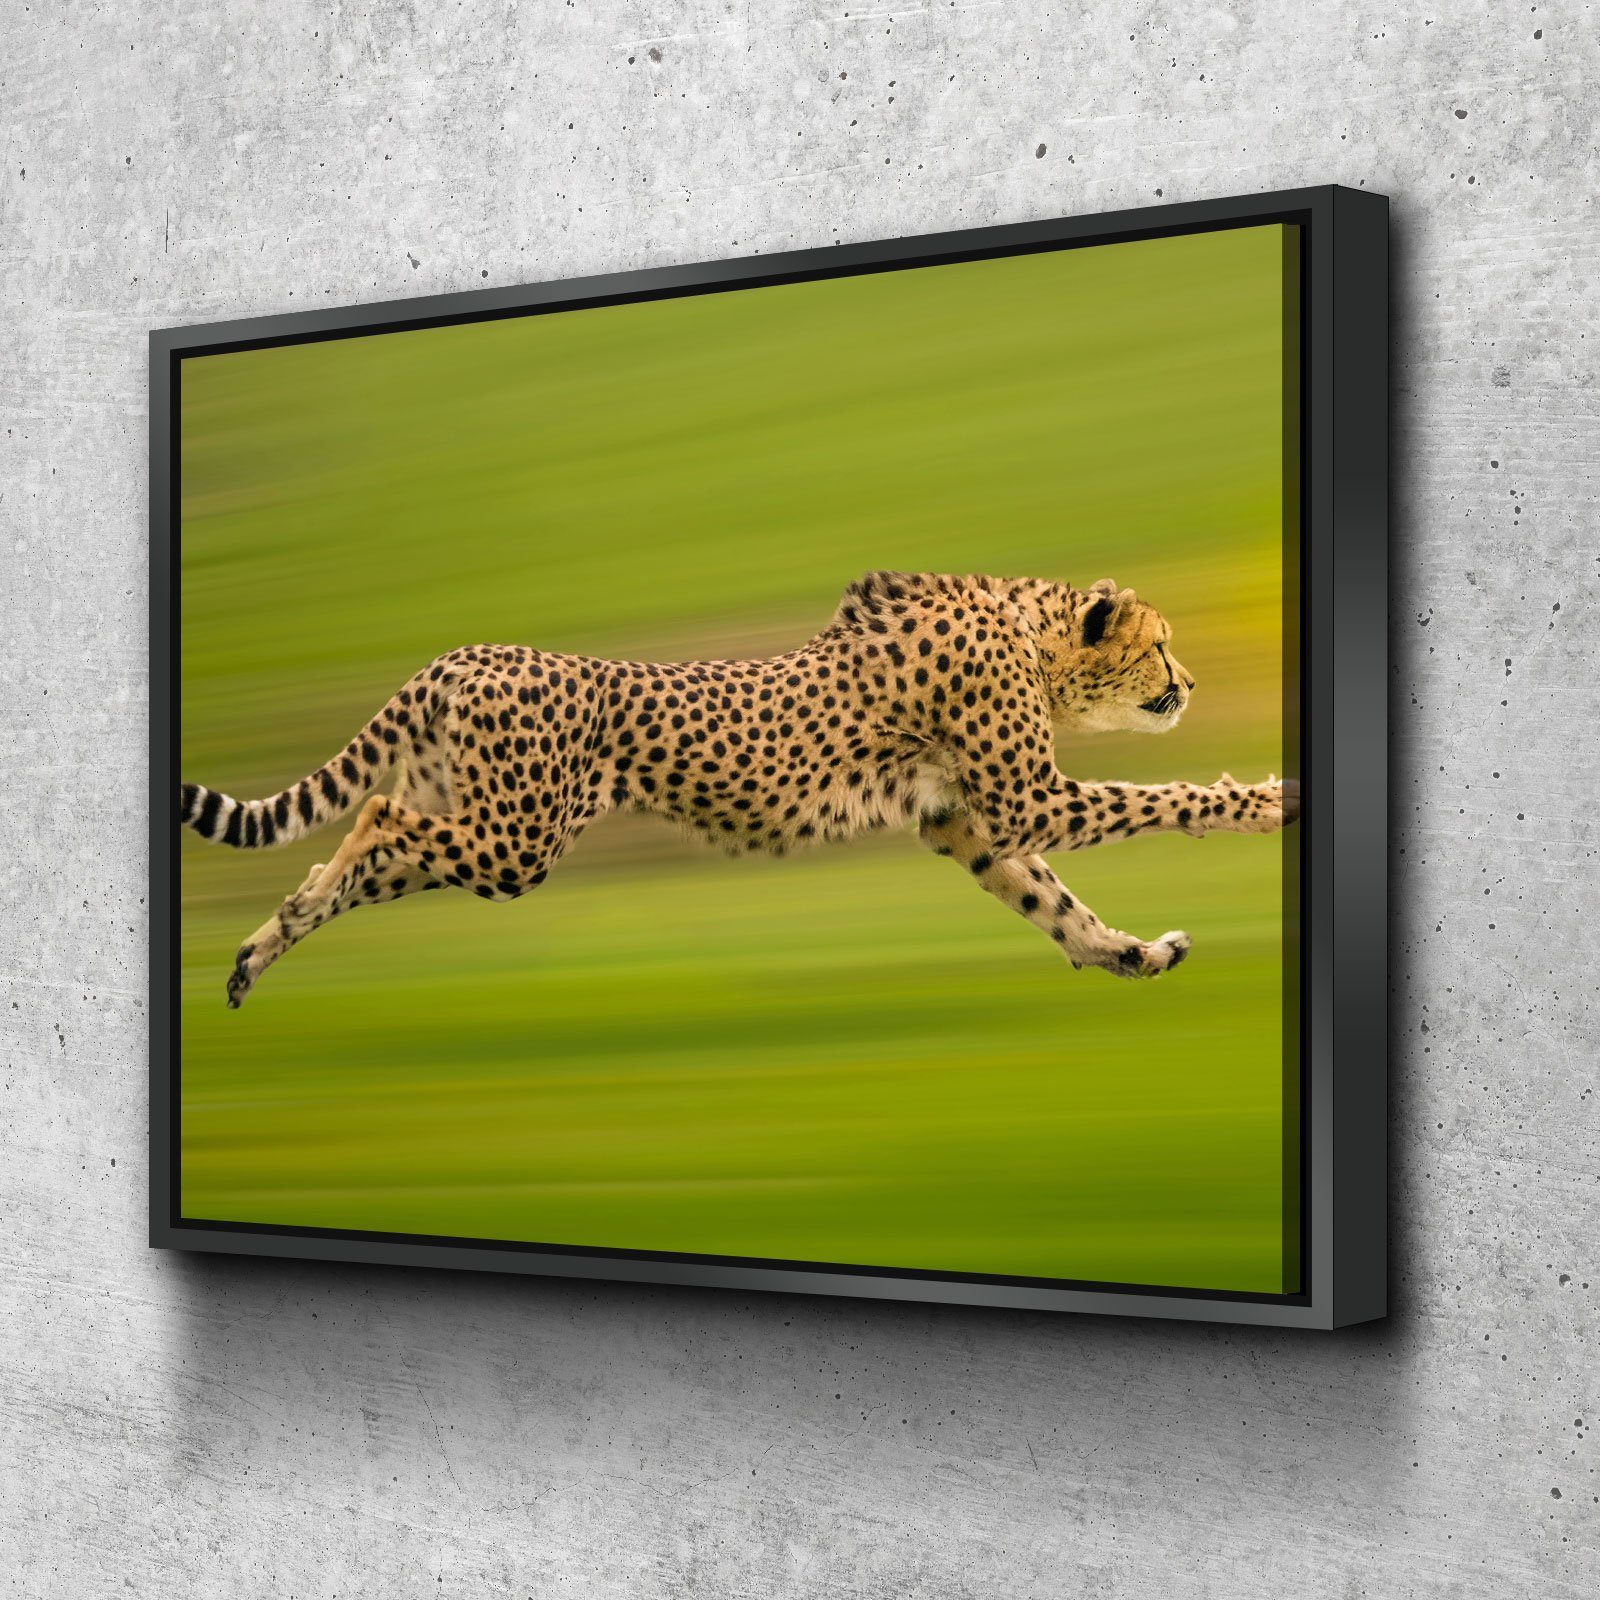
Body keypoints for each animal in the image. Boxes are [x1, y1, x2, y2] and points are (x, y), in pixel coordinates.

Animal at [178, 571, 1297, 1008]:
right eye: (1161, 644)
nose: (1190, 683)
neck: (1032, 634)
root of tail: (463, 653)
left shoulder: (966, 825)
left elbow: (1054, 905)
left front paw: (1128, 954)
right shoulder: (1027, 800)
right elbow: (1162, 798)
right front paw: (1267, 799)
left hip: (490, 827)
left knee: (366, 851)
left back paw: (264, 942)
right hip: (516, 841)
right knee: (375, 815)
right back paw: (290, 915)